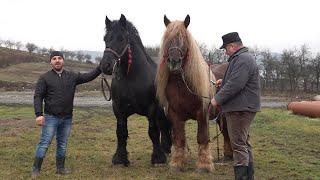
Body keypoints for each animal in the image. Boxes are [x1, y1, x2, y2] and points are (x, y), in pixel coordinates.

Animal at [100, 14, 171, 167]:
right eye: (105, 38)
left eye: (121, 38)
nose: (105, 65)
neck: (132, 78)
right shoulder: (119, 109)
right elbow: (121, 132)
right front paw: (120, 158)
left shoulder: (152, 108)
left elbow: (153, 131)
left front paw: (158, 158)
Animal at [156, 14, 216, 172]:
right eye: (168, 39)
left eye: (183, 38)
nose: (174, 61)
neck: (181, 85)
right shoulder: (175, 115)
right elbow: (179, 139)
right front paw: (177, 163)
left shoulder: (202, 114)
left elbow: (202, 137)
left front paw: (204, 165)